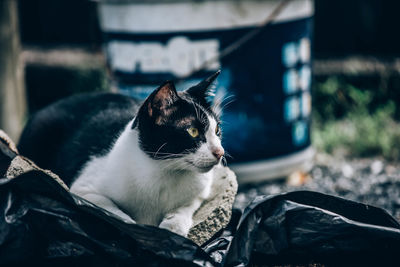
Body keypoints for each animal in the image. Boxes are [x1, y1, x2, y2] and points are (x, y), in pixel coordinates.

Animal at [18, 70, 225, 237]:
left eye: (217, 130)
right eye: (193, 131)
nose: (220, 152)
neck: (165, 171)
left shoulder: (201, 190)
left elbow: (186, 206)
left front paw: (172, 228)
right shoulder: (83, 189)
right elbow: (114, 213)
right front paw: (137, 231)